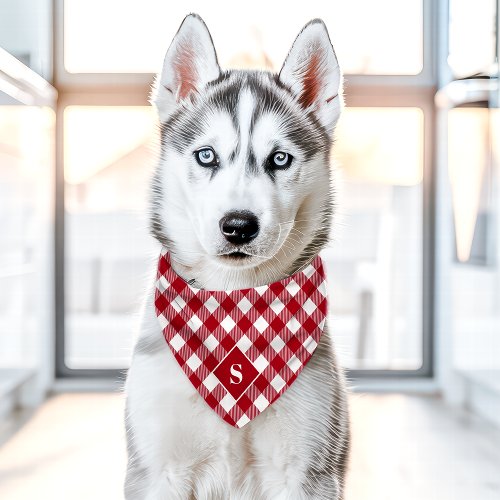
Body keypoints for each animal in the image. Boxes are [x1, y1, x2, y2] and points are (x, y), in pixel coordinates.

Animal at [126, 13, 348, 498]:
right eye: (206, 155)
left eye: (280, 159)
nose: (239, 225)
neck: (235, 307)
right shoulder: (159, 469)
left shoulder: (306, 467)